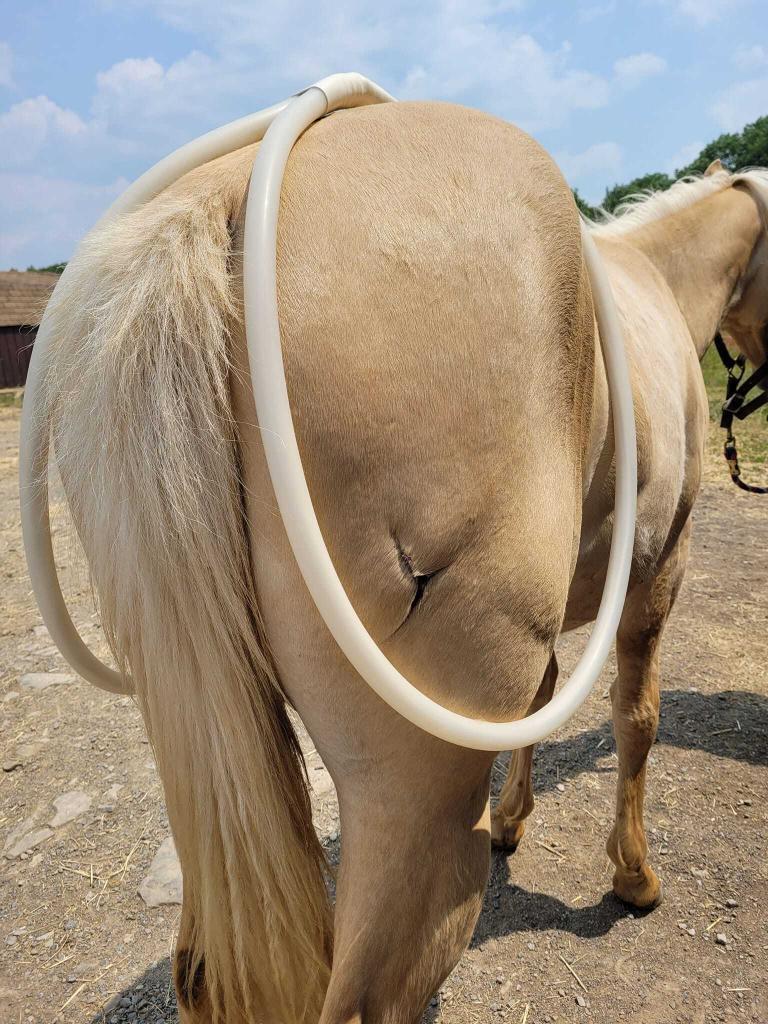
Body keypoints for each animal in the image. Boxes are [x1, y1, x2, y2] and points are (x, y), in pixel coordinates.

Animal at [34, 98, 767, 1023]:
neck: (657, 285)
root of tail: (224, 192)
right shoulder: (660, 567)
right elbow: (638, 720)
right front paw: (633, 876)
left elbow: (544, 697)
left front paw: (516, 822)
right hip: (412, 804)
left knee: (199, 969)